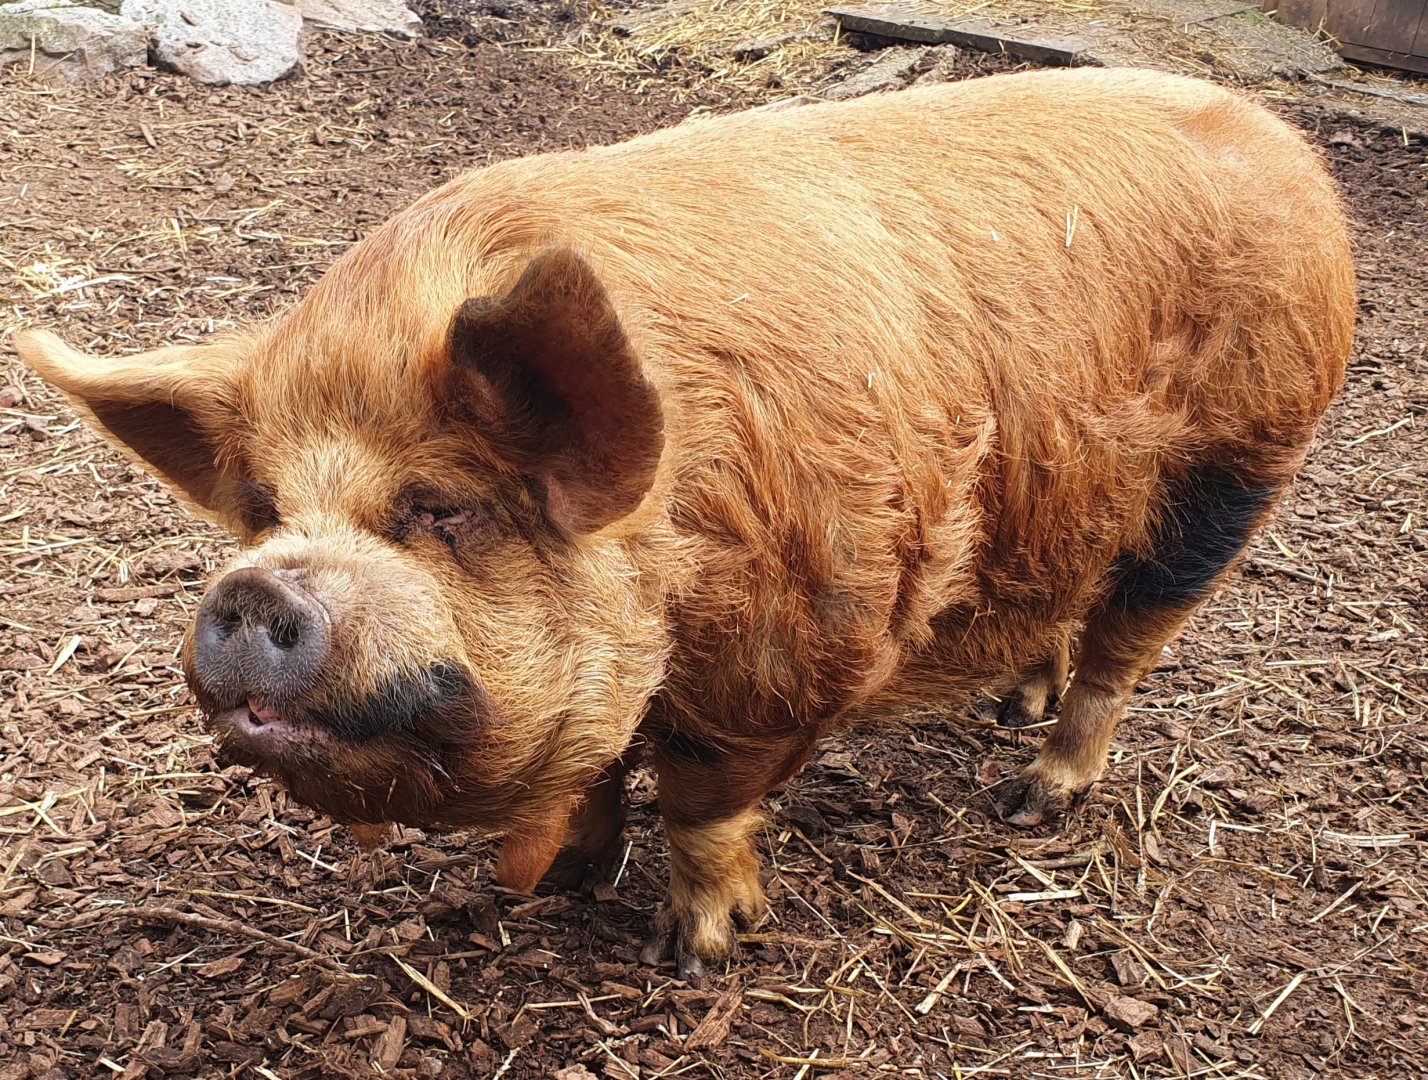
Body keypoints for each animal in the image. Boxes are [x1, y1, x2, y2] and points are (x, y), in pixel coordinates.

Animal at [17, 67, 1354, 979]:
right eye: (263, 509)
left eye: (439, 508)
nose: (254, 587)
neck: (672, 540)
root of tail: (1286, 144)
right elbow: (605, 771)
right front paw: (551, 883)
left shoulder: (798, 643)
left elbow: (703, 799)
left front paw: (699, 948)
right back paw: (1014, 705)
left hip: (1241, 462)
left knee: (1132, 644)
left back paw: (1036, 798)